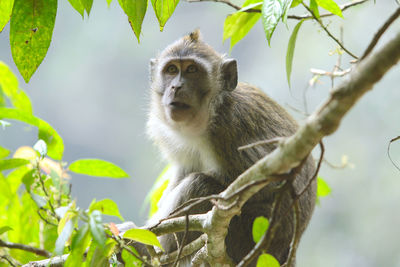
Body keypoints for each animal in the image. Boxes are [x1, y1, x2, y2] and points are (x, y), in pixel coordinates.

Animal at [145, 29, 318, 267]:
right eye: (171, 70)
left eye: (192, 70)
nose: (176, 87)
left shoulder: (229, 128)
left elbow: (273, 185)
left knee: (200, 185)